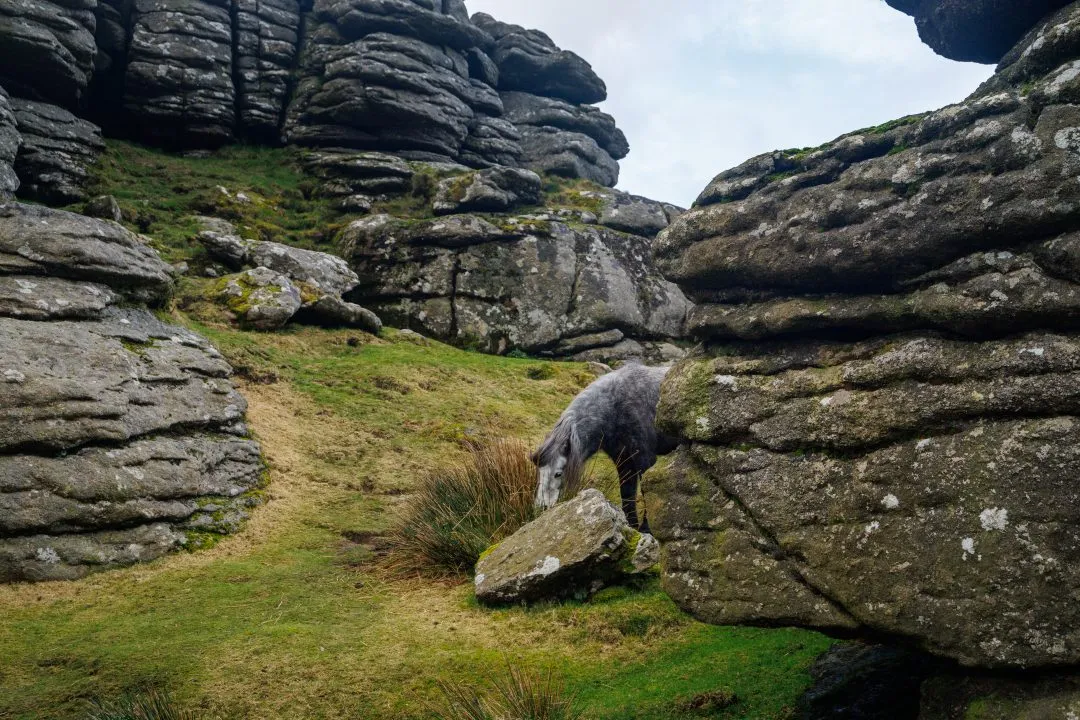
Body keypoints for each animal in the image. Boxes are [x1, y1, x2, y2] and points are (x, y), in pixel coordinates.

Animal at [531, 363, 679, 531]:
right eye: (539, 471)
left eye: (558, 473)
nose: (541, 507)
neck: (615, 408)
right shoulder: (624, 461)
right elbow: (627, 493)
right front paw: (631, 525)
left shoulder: (645, 459)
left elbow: (647, 491)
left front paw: (646, 528)